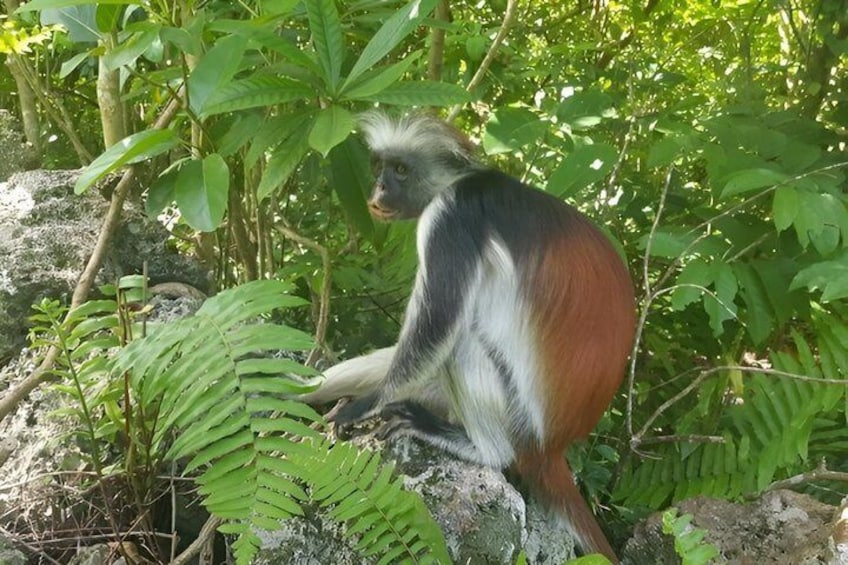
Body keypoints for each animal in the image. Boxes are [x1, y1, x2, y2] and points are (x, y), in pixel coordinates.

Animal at [324, 112, 636, 563]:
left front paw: (364, 406)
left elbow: (436, 325)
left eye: (401, 170)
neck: (461, 181)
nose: (380, 189)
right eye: (380, 167)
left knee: (462, 345)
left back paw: (481, 449)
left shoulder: (452, 217)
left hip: (517, 418)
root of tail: (551, 447)